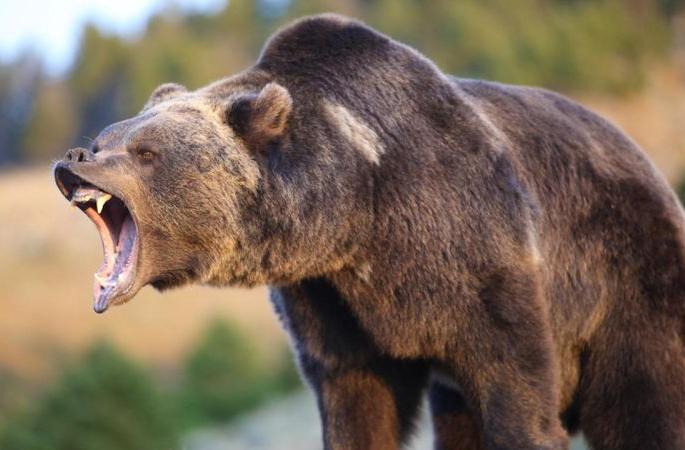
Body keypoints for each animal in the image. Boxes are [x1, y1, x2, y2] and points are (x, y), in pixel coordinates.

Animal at [54, 14, 685, 450]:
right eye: (106, 137)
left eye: (145, 151)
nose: (75, 158)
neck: (358, 214)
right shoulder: (332, 306)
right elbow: (358, 404)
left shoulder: (480, 255)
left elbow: (516, 388)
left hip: (629, 278)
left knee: (644, 402)